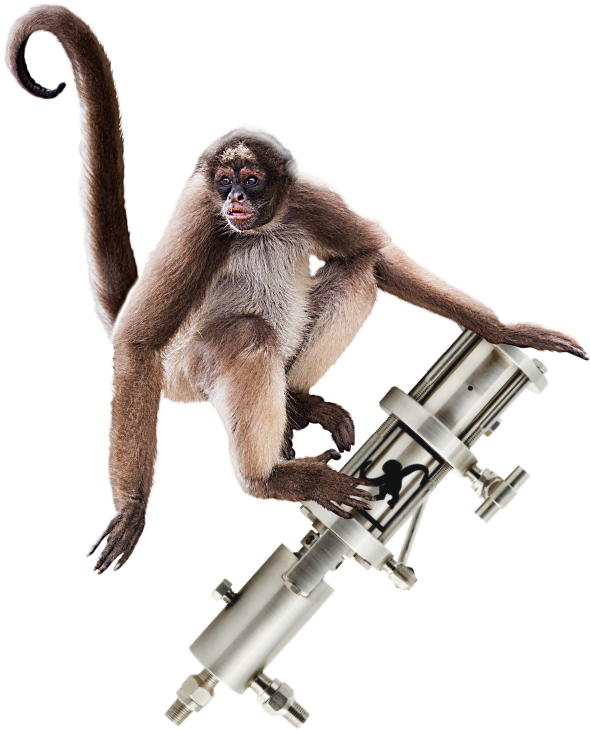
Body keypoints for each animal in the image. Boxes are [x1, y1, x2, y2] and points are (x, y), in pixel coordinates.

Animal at [4, 4, 587, 576]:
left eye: (252, 179)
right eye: (224, 181)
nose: (236, 198)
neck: (260, 225)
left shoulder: (309, 194)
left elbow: (370, 254)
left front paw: (503, 329)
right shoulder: (201, 218)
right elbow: (139, 342)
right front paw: (132, 508)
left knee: (355, 272)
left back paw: (297, 399)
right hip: (186, 369)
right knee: (246, 334)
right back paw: (267, 479)